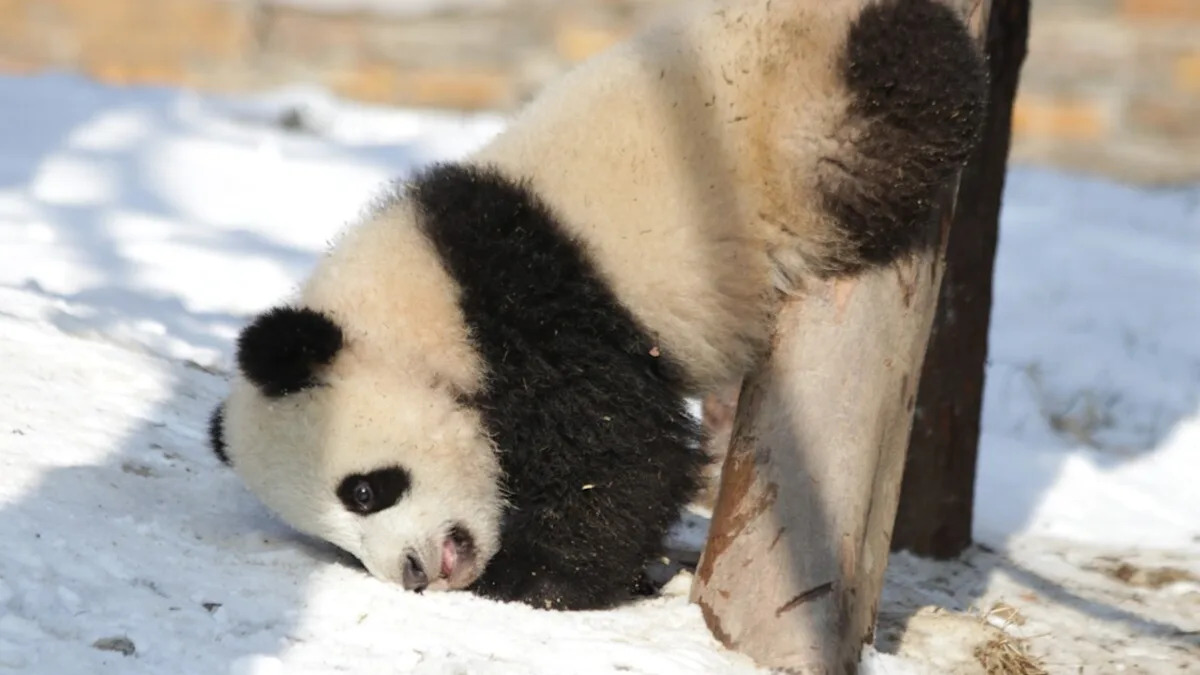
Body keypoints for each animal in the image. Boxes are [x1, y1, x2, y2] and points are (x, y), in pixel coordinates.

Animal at [209, 0, 986, 611]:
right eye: (339, 541)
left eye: (365, 490)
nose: (414, 573)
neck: (416, 306)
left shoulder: (533, 307)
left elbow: (620, 453)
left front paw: (537, 579)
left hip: (810, 111)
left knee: (908, 91)